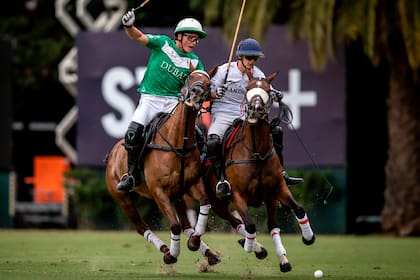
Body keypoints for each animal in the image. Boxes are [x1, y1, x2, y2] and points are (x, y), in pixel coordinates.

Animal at [105, 69, 220, 264]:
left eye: (209, 83)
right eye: (189, 78)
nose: (196, 94)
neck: (178, 144)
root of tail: (111, 155)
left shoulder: (190, 185)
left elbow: (205, 203)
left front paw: (194, 242)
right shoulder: (159, 192)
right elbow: (174, 225)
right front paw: (172, 255)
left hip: (177, 196)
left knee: (186, 225)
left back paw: (209, 253)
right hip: (122, 198)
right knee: (142, 227)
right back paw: (166, 250)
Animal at [203, 71, 316, 272]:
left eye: (267, 90)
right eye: (247, 88)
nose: (255, 110)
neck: (256, 153)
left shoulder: (276, 189)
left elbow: (298, 209)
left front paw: (308, 237)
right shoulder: (238, 194)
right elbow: (250, 225)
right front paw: (251, 247)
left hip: (268, 199)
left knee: (271, 225)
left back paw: (280, 258)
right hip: (217, 202)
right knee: (236, 222)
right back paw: (254, 247)